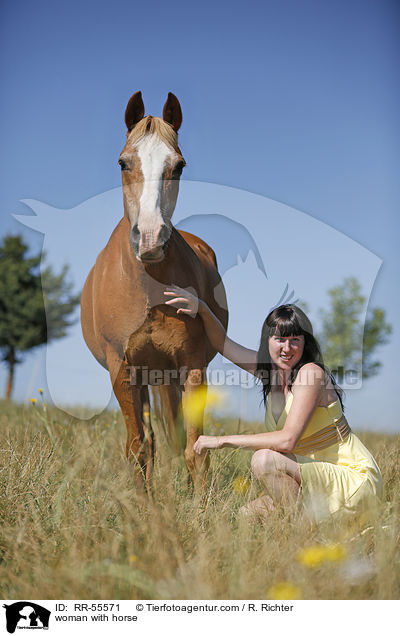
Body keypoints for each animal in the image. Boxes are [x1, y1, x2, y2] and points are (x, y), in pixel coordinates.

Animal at [80, 92, 228, 484]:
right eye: (123, 163)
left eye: (178, 166)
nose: (150, 238)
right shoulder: (123, 370)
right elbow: (139, 450)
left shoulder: (191, 366)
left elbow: (194, 451)